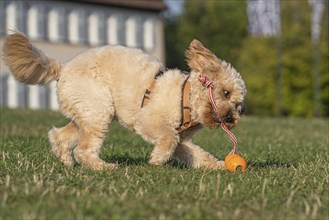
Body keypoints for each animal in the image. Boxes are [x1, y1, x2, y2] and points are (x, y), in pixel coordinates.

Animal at [1, 31, 243, 171]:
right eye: (226, 92)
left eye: (239, 105)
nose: (231, 118)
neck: (187, 96)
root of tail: (64, 67)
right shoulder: (149, 121)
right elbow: (169, 138)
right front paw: (157, 159)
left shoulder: (184, 141)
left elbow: (197, 153)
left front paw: (218, 165)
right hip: (99, 110)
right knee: (83, 150)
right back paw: (103, 167)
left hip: (87, 111)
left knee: (60, 136)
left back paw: (67, 163)